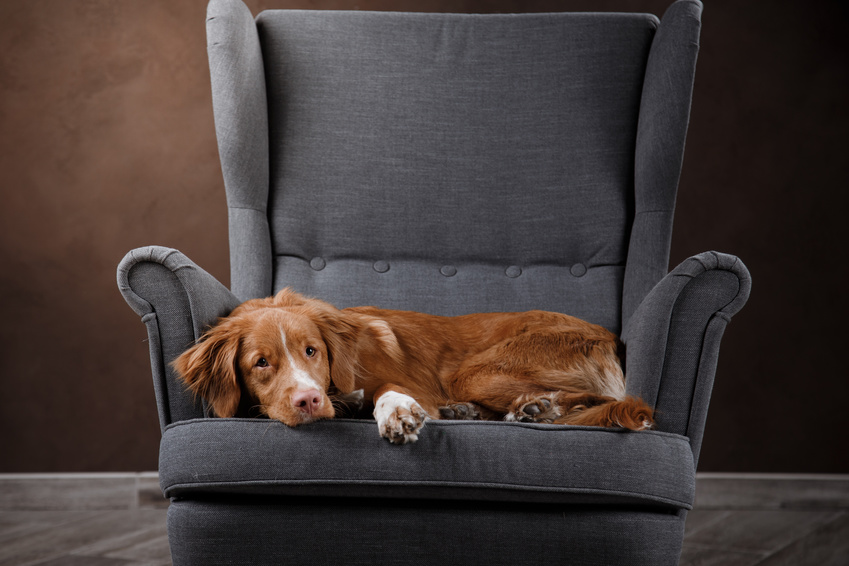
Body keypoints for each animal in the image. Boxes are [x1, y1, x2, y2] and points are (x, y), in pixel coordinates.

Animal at [171, 290, 648, 446]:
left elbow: (390, 391)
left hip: (476, 371)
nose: (309, 400)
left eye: (312, 351)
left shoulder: (396, 378)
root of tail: (607, 336)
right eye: (261, 363)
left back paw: (538, 410)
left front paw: (397, 412)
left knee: (604, 400)